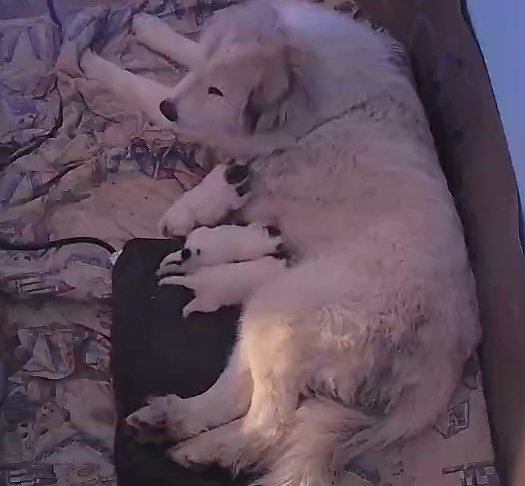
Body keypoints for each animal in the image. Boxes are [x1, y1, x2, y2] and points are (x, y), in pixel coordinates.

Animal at [80, 1, 481, 485]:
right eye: (205, 75)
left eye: (217, 90)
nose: (170, 106)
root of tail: (446, 356)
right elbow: (183, 49)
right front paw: (151, 28)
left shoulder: (219, 129)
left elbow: (141, 86)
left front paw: (92, 65)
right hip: (265, 319)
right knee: (239, 398)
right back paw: (173, 426)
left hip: (277, 311)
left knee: (269, 424)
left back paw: (203, 449)